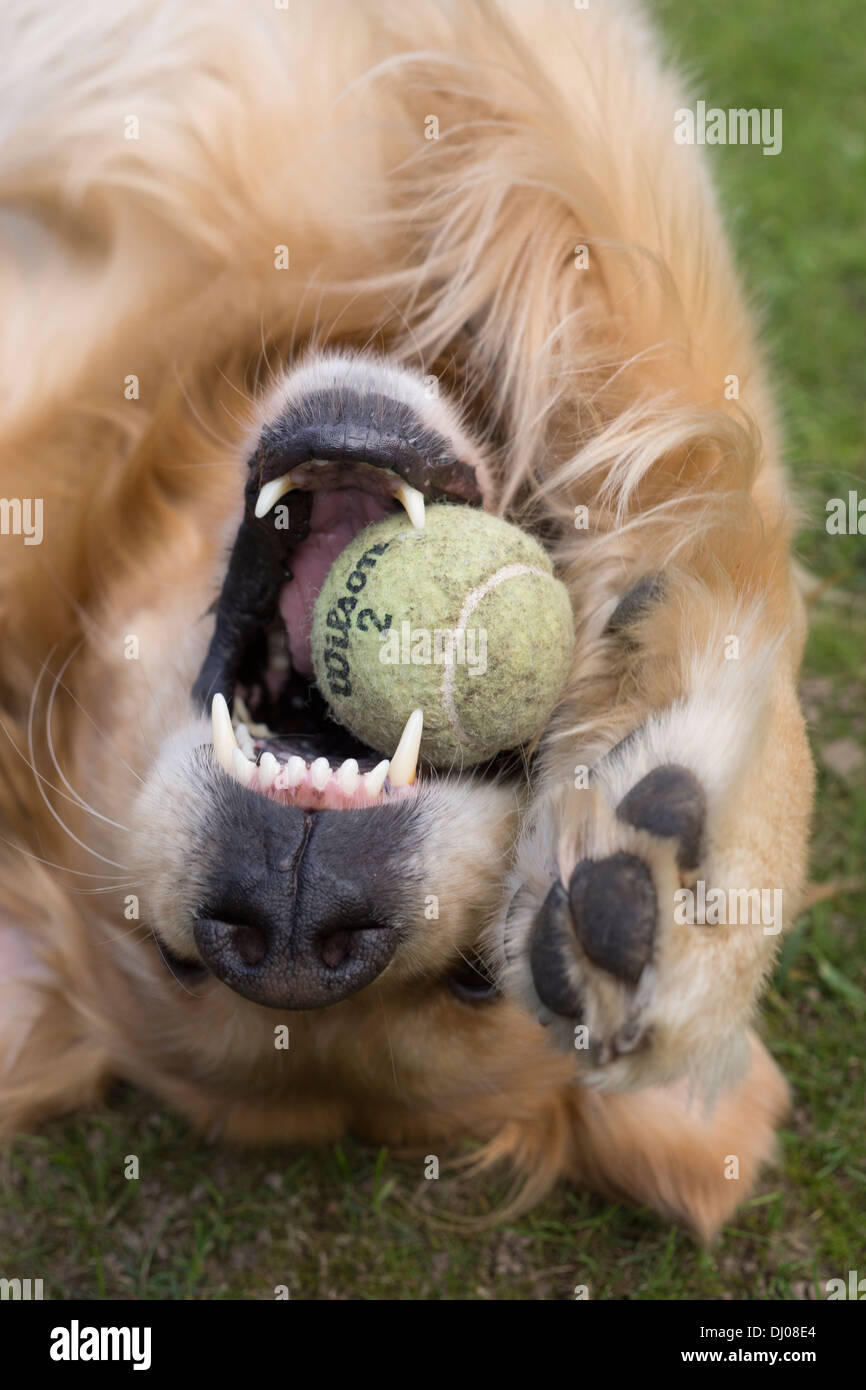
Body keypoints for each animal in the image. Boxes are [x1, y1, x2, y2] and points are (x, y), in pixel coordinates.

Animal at [0, 0, 811, 1239]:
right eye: (175, 956)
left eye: (475, 975)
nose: (291, 924)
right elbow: (691, 430)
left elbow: (705, 449)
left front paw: (700, 875)